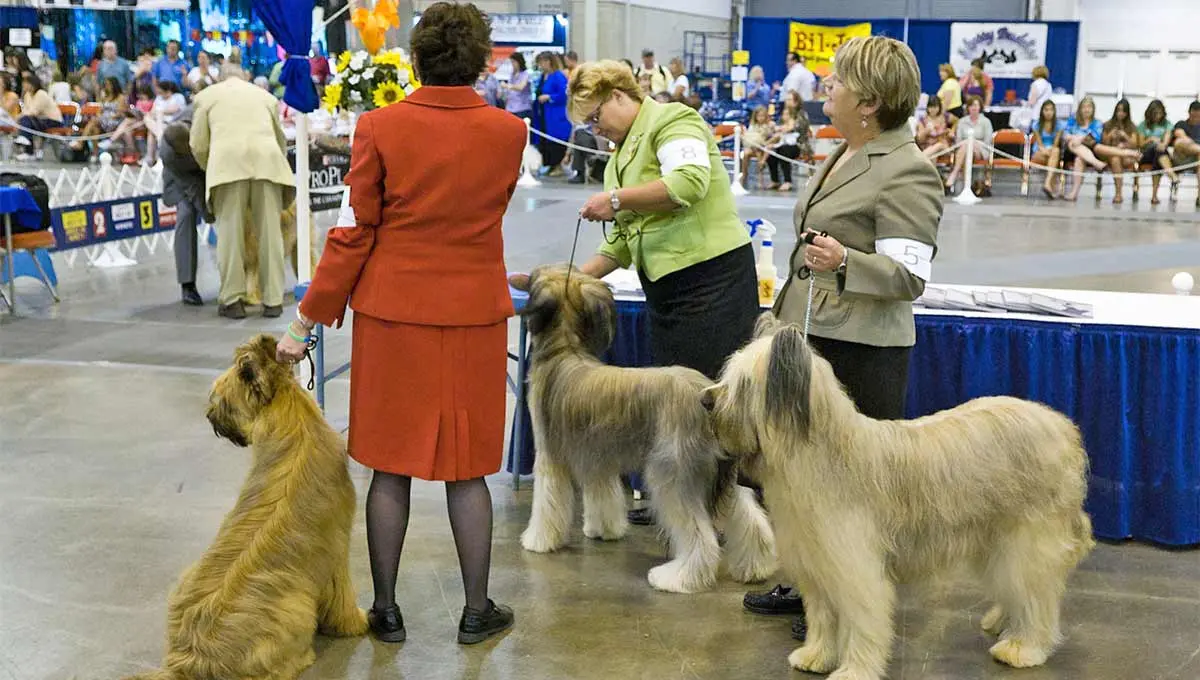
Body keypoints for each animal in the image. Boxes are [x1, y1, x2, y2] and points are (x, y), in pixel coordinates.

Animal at [122, 335, 367, 680]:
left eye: (222, 399)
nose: (210, 417)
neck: (294, 424)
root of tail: (188, 662)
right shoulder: (337, 550)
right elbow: (343, 597)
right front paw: (356, 622)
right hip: (294, 609)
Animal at [700, 321, 1099, 680]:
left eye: (742, 385)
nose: (705, 399)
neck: (818, 455)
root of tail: (1063, 427)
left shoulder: (855, 569)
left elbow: (862, 621)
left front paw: (854, 671)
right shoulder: (819, 567)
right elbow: (823, 618)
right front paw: (816, 656)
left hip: (1027, 539)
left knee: (1035, 595)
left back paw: (1024, 647)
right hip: (996, 539)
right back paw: (1002, 622)